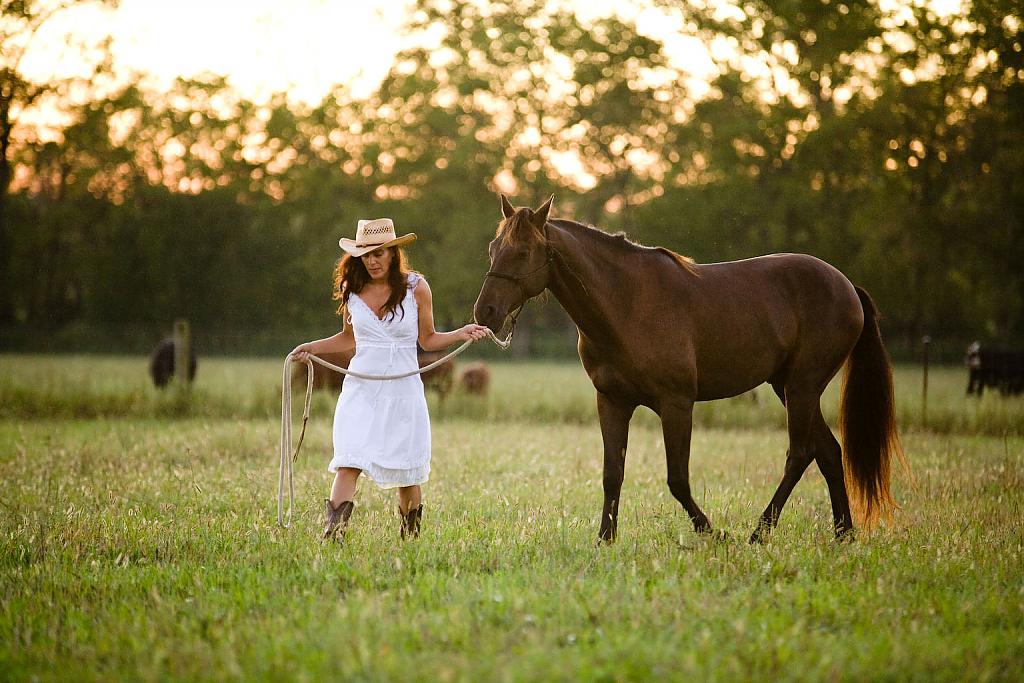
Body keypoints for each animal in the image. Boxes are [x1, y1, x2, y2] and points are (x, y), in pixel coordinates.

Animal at [473, 194, 905, 540]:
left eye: (523, 252)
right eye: (493, 248)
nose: (485, 313)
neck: (627, 303)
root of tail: (847, 286)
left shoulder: (677, 404)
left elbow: (677, 479)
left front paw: (714, 533)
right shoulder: (612, 402)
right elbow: (612, 475)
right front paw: (604, 540)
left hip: (802, 387)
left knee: (799, 455)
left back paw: (758, 534)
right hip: (789, 388)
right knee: (829, 453)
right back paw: (843, 534)